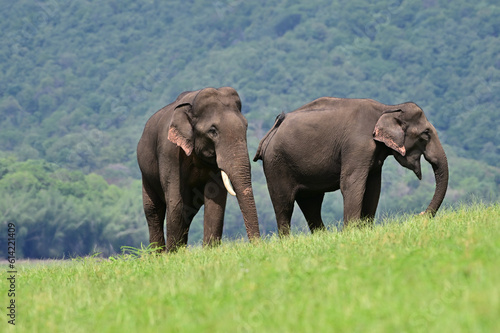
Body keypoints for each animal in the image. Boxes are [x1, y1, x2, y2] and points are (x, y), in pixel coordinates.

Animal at [138, 87, 260, 250]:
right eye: (213, 131)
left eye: (246, 127)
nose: (258, 245)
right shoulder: (169, 152)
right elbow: (175, 201)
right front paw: (173, 254)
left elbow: (215, 199)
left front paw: (210, 250)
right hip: (145, 175)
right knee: (153, 210)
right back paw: (158, 254)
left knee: (188, 211)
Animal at [254, 97, 450, 235]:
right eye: (426, 134)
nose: (419, 215)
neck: (386, 108)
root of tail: (271, 132)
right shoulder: (357, 146)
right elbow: (351, 184)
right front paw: (350, 233)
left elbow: (373, 188)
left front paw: (365, 230)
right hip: (276, 165)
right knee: (284, 205)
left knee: (311, 204)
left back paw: (322, 237)